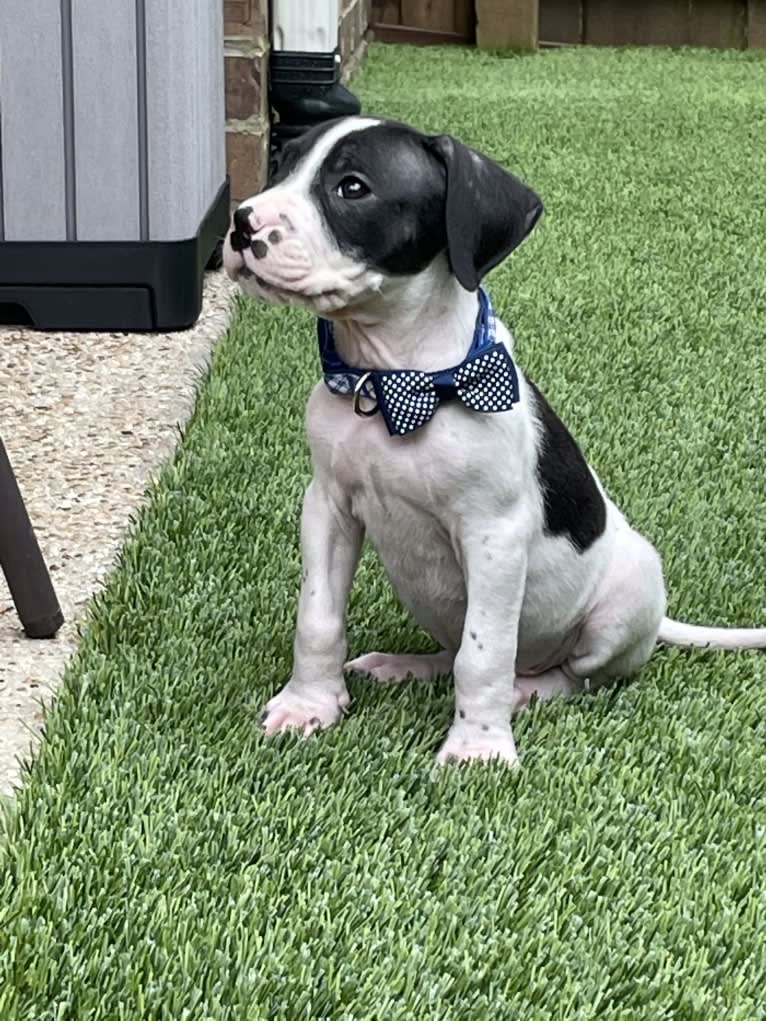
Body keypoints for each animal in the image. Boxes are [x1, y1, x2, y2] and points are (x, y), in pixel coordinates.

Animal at [223, 115, 766, 763]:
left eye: (353, 188)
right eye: (281, 165)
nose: (242, 222)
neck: (394, 384)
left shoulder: (494, 535)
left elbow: (484, 655)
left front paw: (477, 748)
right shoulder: (327, 507)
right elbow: (318, 618)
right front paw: (309, 704)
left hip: (620, 606)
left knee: (571, 676)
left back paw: (523, 693)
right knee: (451, 648)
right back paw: (404, 666)